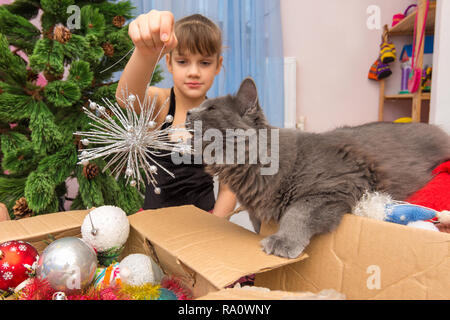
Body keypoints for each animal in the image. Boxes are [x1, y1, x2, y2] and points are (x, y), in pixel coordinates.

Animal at [185, 78, 448, 260]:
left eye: (211, 109)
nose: (187, 111)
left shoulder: (337, 185)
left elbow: (298, 212)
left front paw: (282, 241)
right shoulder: (255, 213)